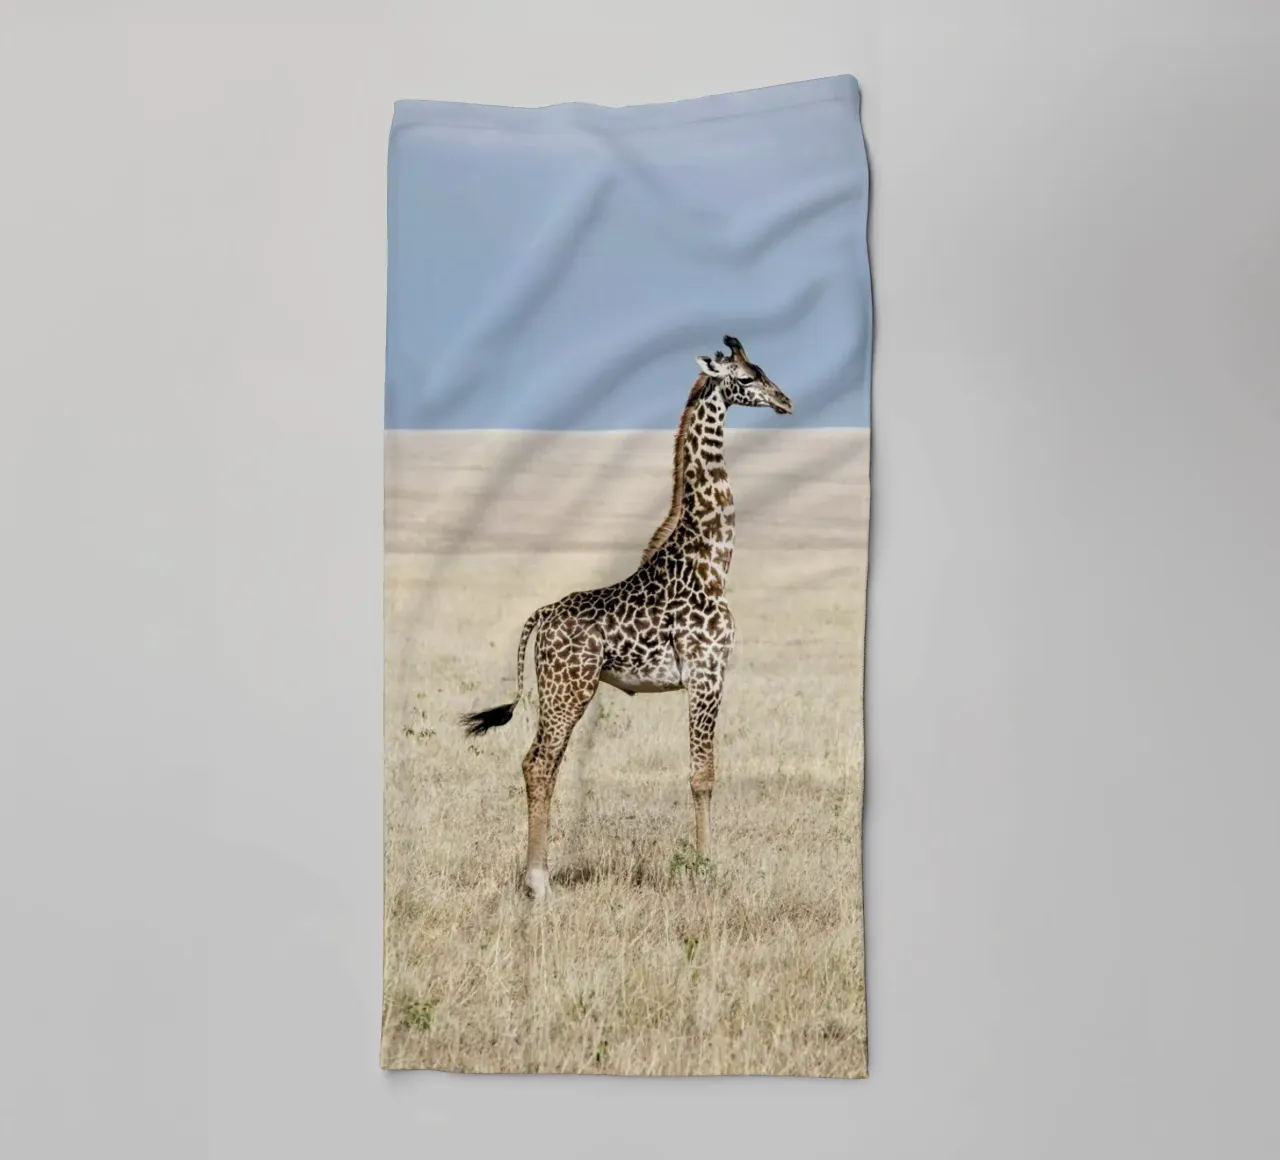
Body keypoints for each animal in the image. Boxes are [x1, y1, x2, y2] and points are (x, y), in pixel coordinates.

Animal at [461, 335, 793, 899]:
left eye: (763, 370)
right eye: (747, 378)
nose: (785, 401)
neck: (712, 562)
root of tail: (541, 616)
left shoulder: (708, 675)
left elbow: (701, 771)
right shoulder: (707, 672)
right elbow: (702, 774)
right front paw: (705, 869)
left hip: (562, 690)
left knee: (539, 762)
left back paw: (537, 877)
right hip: (568, 689)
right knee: (539, 763)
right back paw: (538, 883)